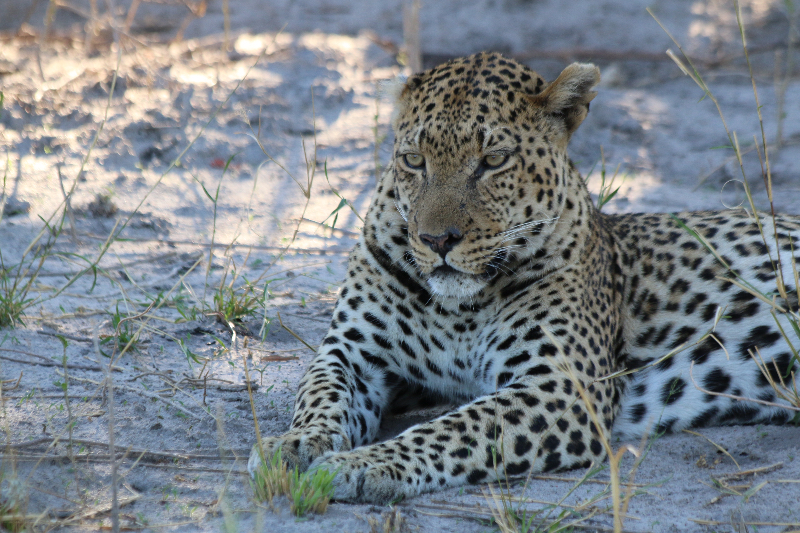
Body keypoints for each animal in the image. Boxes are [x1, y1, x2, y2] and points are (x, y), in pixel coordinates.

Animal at [247, 51, 796, 502]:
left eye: (492, 161)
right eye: (413, 160)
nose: (436, 240)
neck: (458, 307)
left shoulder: (560, 386)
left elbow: (455, 429)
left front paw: (362, 464)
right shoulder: (353, 352)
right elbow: (321, 394)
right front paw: (293, 443)